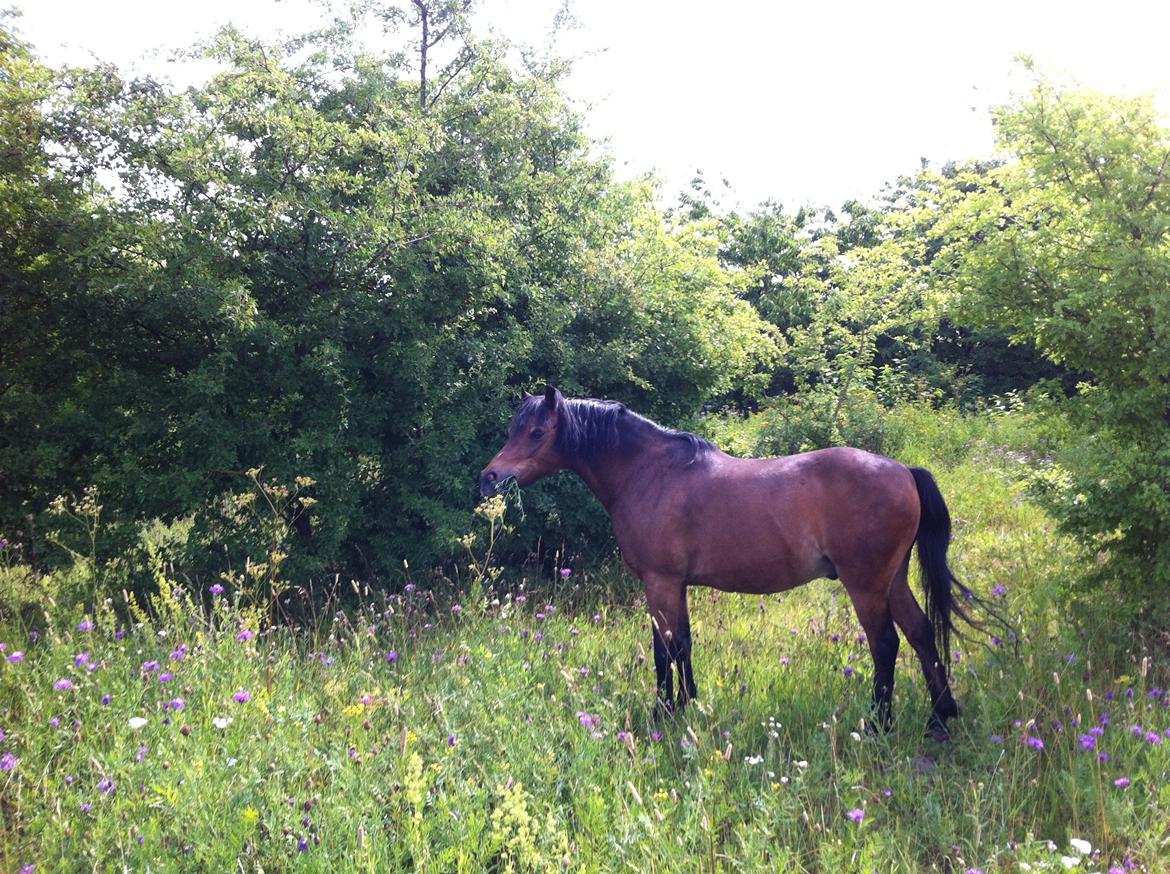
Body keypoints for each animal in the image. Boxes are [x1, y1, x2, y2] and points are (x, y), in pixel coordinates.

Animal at [475, 383, 978, 739]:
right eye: (512, 431)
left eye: (536, 432)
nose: (489, 478)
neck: (648, 473)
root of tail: (903, 471)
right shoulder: (676, 585)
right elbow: (683, 645)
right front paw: (687, 704)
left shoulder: (659, 582)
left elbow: (663, 650)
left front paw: (662, 712)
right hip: (893, 579)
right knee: (920, 633)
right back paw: (940, 719)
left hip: (866, 583)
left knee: (886, 644)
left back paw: (878, 725)